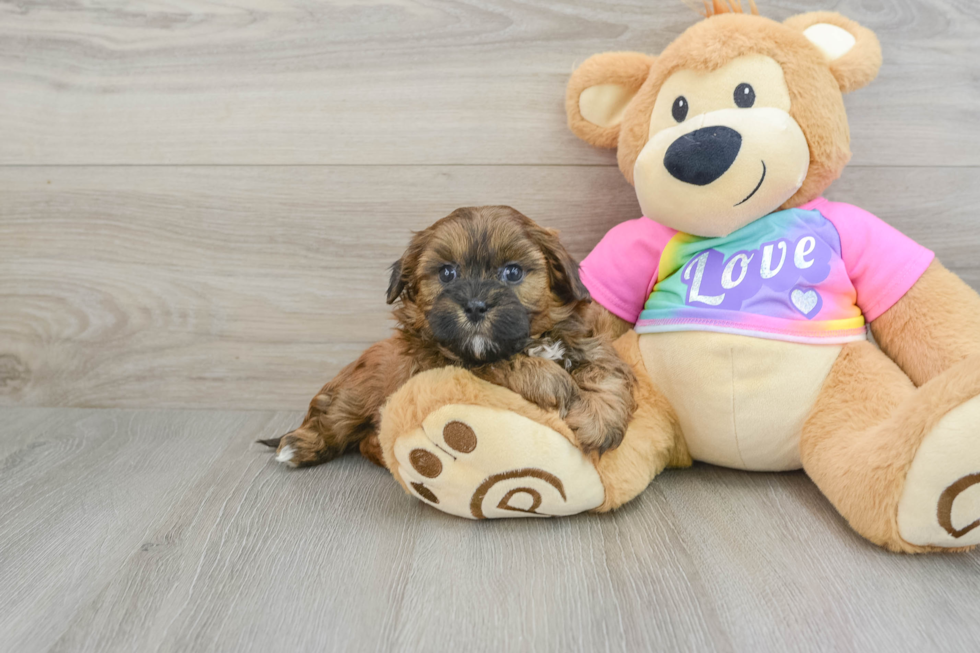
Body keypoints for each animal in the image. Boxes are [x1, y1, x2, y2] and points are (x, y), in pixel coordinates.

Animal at [260, 206, 636, 466]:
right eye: (447, 273)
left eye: (512, 272)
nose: (475, 306)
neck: (527, 341)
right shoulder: (446, 365)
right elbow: (509, 366)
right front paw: (557, 385)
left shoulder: (583, 341)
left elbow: (605, 370)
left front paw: (600, 419)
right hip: (353, 392)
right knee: (332, 417)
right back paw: (296, 446)